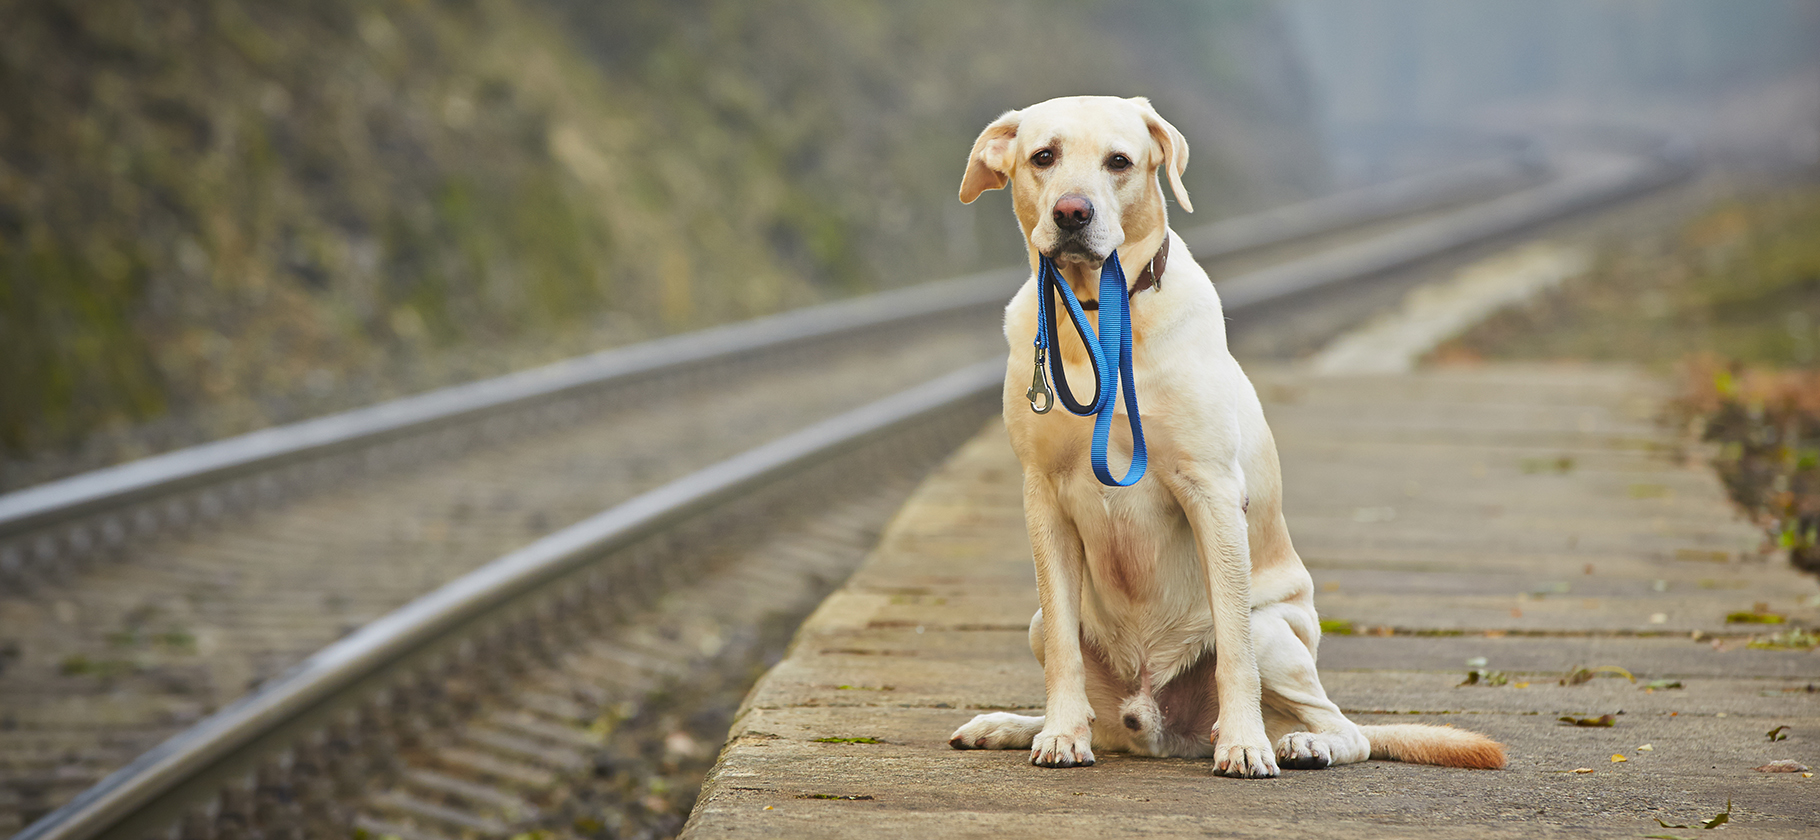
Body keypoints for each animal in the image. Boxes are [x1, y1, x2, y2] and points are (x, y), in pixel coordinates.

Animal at [946, 98, 1499, 781]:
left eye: (1119, 161)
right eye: (1043, 156)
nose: (1072, 212)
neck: (1099, 317)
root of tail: (1158, 728)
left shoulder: (1210, 492)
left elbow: (1234, 648)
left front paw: (1244, 743)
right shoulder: (1043, 497)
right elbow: (1064, 654)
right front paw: (1058, 734)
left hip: (1277, 634)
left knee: (1345, 727)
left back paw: (1300, 743)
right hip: (1039, 625)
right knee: (1087, 691)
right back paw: (1014, 725)